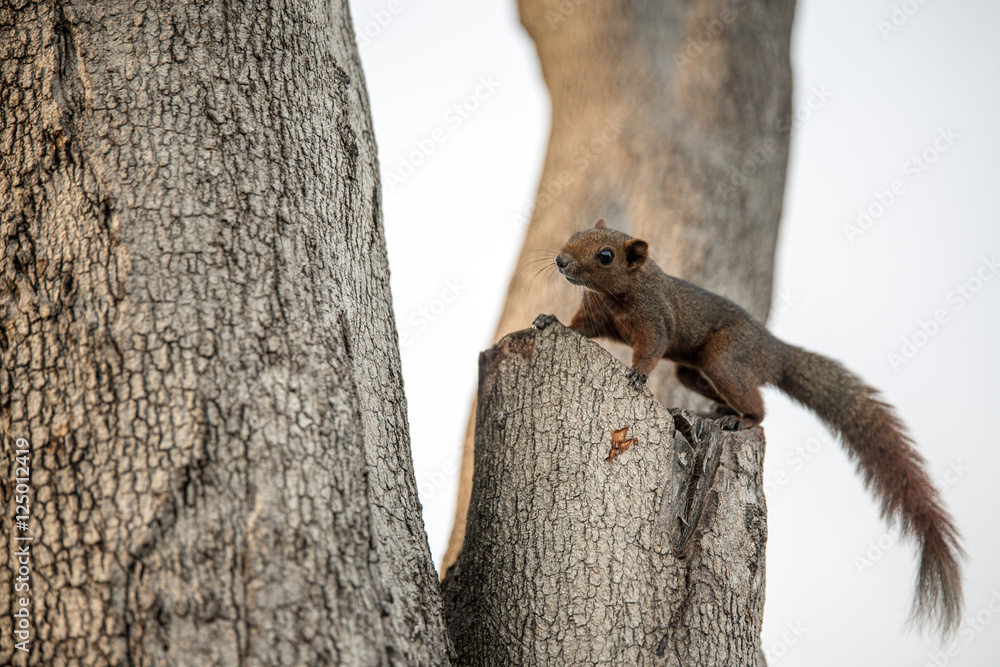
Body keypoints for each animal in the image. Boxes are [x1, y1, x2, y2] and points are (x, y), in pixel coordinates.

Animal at [532, 218, 963, 635]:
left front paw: (637, 374)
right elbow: (578, 328)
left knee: (759, 407)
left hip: (724, 358)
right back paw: (718, 410)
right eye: (575, 233)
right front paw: (548, 319)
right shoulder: (596, 314)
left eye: (605, 255)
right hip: (694, 371)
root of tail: (773, 351)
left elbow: (651, 349)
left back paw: (738, 418)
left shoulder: (655, 321)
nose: (561, 261)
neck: (618, 292)